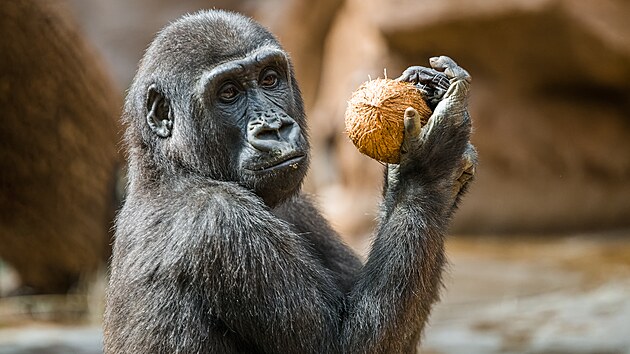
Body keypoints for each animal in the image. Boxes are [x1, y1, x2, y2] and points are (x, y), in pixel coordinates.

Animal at [105, 8, 478, 354]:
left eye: (270, 79)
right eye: (228, 93)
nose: (275, 128)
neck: (171, 165)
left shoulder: (297, 207)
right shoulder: (218, 221)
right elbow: (344, 344)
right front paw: (429, 166)